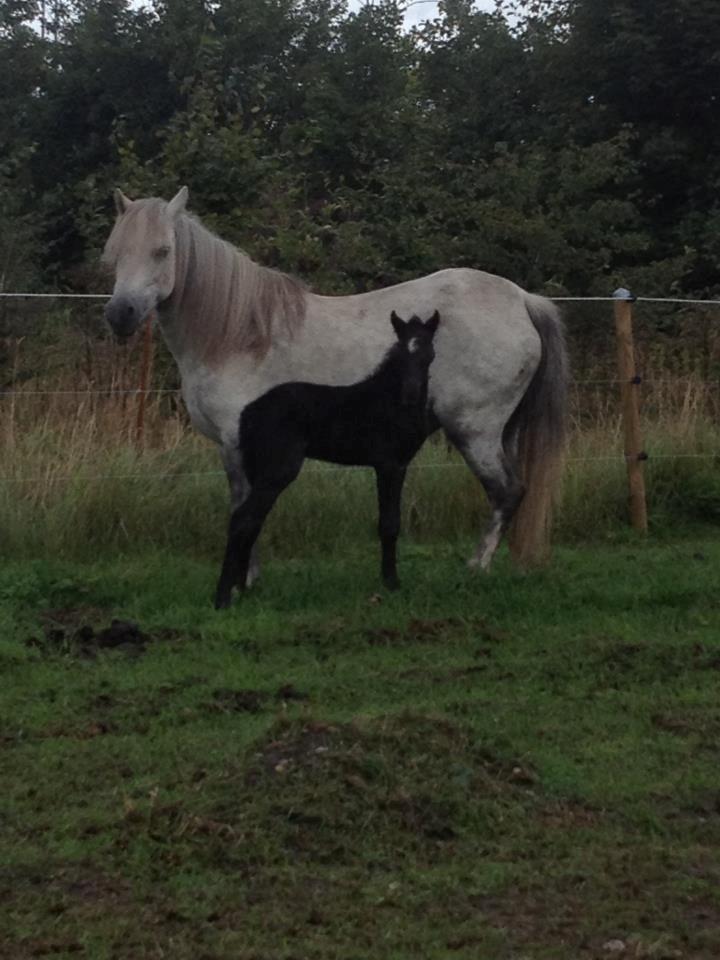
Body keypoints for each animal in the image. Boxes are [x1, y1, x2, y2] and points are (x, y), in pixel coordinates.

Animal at [214, 309, 440, 608]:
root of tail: (247, 414)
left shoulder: (394, 465)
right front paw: (392, 583)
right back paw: (222, 598)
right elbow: (390, 523)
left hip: (258, 472)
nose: (411, 394)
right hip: (278, 471)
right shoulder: (390, 465)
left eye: (429, 354)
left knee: (252, 522)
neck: (390, 402)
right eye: (401, 353)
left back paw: (241, 589)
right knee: (243, 519)